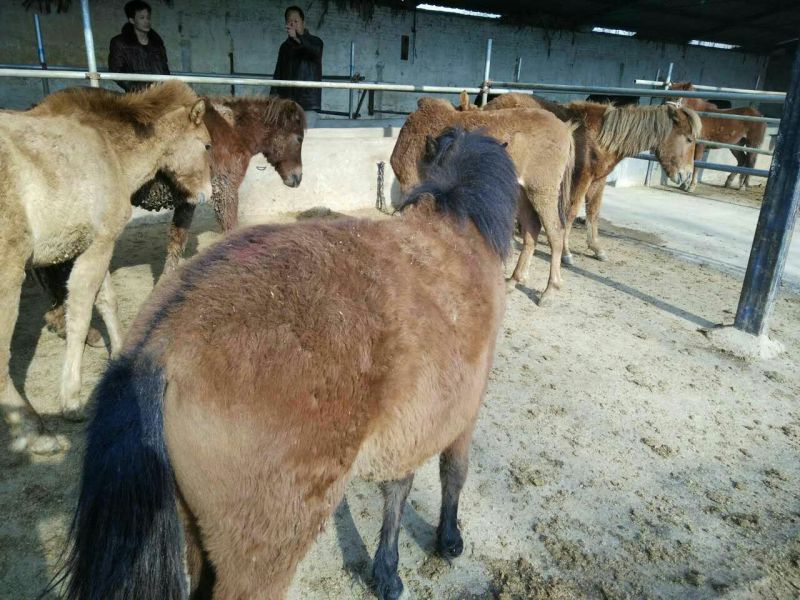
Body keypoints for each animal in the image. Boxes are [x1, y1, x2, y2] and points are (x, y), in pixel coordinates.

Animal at [1, 81, 213, 454]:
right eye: (206, 144)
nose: (207, 193)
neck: (109, 150)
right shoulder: (98, 245)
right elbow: (82, 311)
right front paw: (71, 400)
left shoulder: (95, 246)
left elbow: (107, 300)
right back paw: (34, 432)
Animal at [33, 94, 306, 345]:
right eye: (299, 138)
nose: (297, 179)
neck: (232, 127)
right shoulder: (224, 190)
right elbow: (227, 231)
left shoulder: (189, 198)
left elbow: (177, 240)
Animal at [52, 129, 519, 600]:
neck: (459, 228)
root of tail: (161, 344)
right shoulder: (463, 415)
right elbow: (452, 474)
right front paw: (448, 540)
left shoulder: (415, 424)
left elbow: (398, 489)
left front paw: (387, 571)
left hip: (196, 536)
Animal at [392, 97, 576, 306]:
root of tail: (565, 129)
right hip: (523, 194)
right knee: (532, 231)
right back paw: (513, 281)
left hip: (542, 192)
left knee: (555, 233)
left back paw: (549, 289)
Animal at [481, 93, 700, 263]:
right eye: (689, 139)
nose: (685, 175)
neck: (599, 138)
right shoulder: (582, 179)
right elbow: (571, 213)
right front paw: (566, 253)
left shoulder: (598, 180)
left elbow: (594, 212)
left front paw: (597, 248)